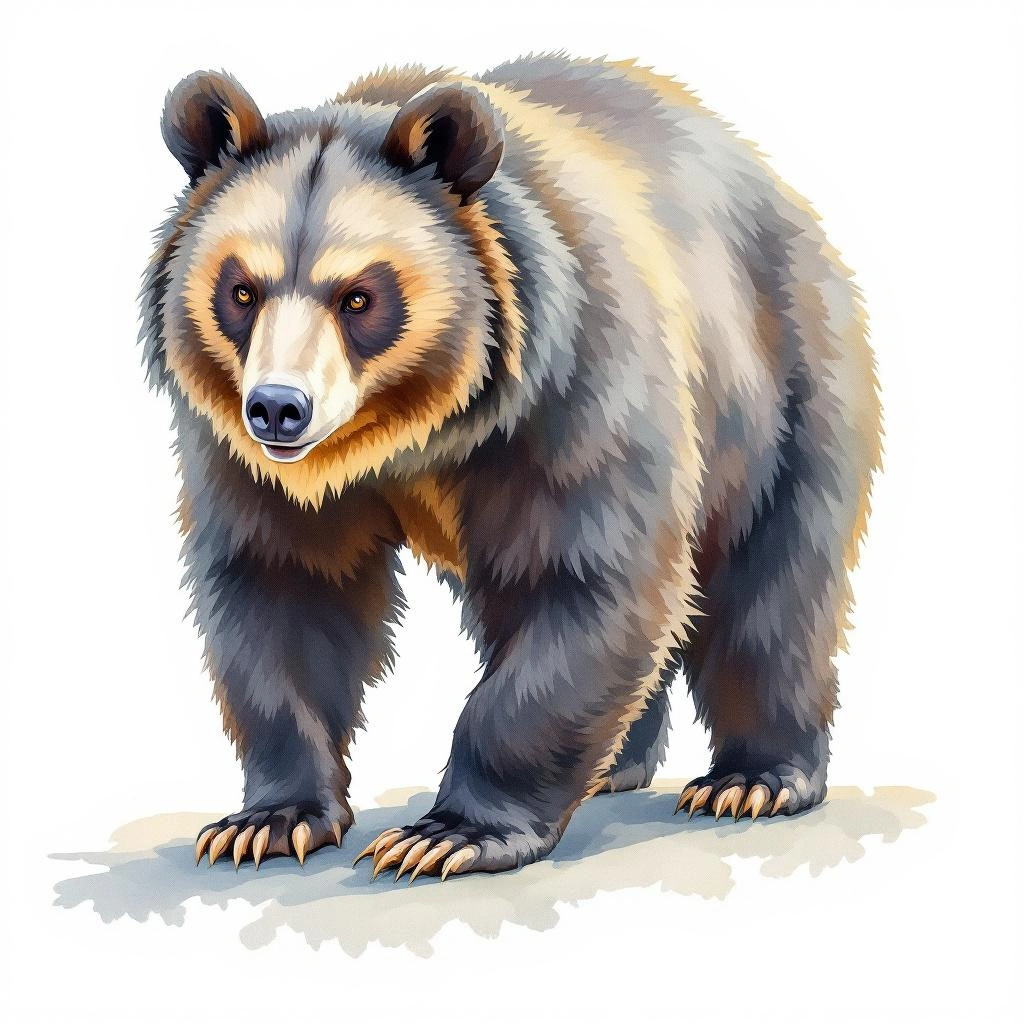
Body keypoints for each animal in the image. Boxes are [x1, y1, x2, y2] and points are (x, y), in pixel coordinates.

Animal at [141, 54, 881, 881]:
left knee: (771, 584)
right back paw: (621, 764)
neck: (413, 431)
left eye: (360, 297)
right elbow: (283, 588)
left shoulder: (570, 388)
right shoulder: (244, 459)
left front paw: (447, 833)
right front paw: (267, 821)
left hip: (782, 383)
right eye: (241, 289)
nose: (277, 408)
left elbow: (581, 578)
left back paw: (753, 780)